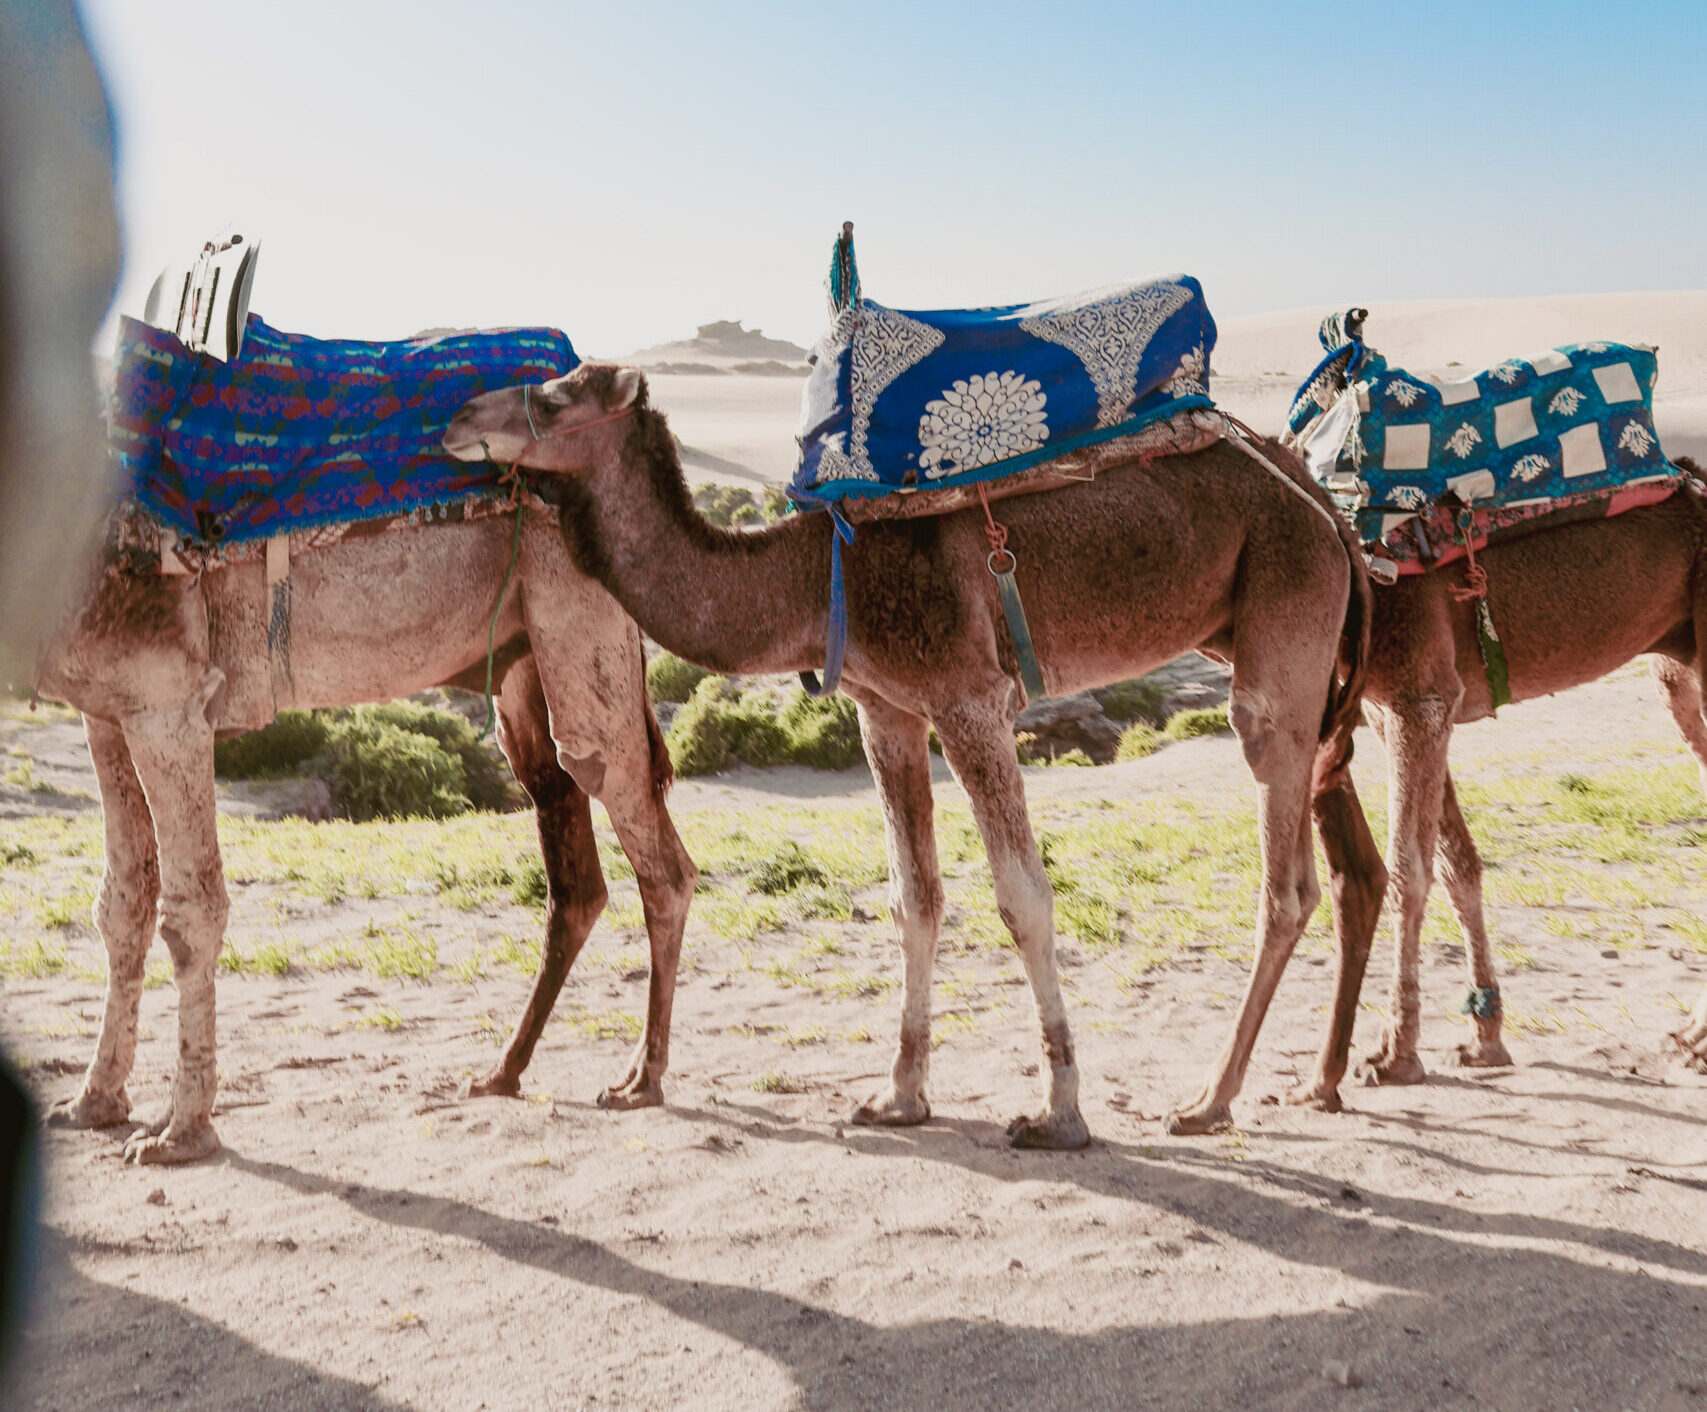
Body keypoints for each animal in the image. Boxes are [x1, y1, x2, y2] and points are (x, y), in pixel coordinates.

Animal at [38, 495, 697, 1164]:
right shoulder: (109, 710)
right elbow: (123, 905)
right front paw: (93, 1101)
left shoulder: (170, 702)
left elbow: (192, 910)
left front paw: (181, 1133)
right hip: (523, 663)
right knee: (576, 876)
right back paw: (503, 1072)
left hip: (581, 630)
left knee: (659, 861)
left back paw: (641, 1080)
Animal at [444, 362, 1383, 1145]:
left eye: (558, 395)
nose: (455, 420)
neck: (818, 574)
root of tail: (1321, 503)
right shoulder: (886, 710)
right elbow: (913, 898)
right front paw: (898, 1096)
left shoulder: (968, 701)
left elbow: (1022, 898)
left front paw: (1058, 1113)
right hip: (1264, 641)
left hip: (1283, 617)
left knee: (1285, 879)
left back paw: (1211, 1098)